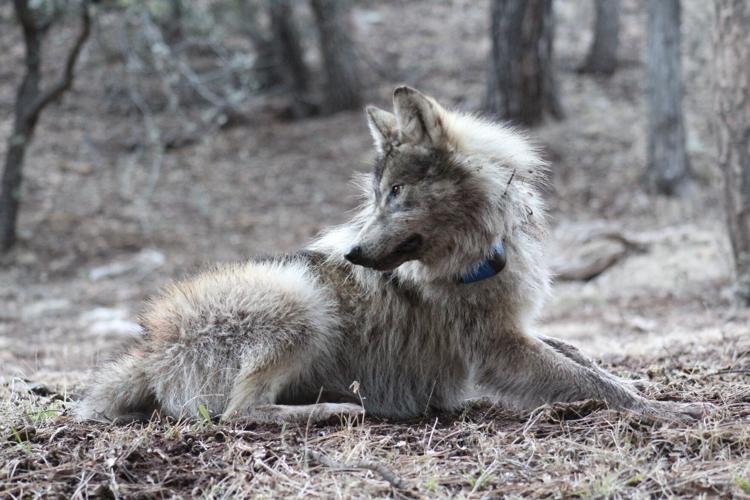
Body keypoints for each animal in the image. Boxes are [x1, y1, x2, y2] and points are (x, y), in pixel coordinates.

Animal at [77, 86, 706, 424]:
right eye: (377, 197)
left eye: (397, 194)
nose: (352, 254)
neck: (478, 254)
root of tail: (148, 349)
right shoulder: (500, 349)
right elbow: (589, 382)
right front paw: (668, 412)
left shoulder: (518, 329)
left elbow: (586, 359)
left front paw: (651, 388)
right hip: (302, 302)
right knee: (240, 413)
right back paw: (334, 410)